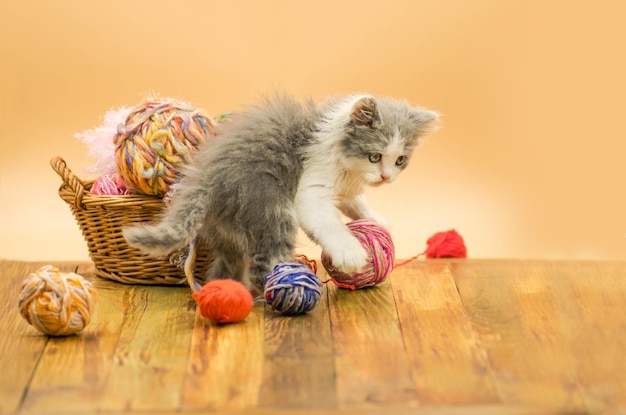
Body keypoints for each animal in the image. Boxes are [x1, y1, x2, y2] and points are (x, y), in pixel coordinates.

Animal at [123, 92, 438, 294]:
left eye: (400, 160)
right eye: (375, 156)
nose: (386, 177)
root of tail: (204, 174)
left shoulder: (346, 185)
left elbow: (354, 201)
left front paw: (377, 220)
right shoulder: (312, 186)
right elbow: (328, 222)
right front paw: (350, 253)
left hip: (225, 230)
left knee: (226, 265)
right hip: (271, 206)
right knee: (263, 264)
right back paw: (281, 289)